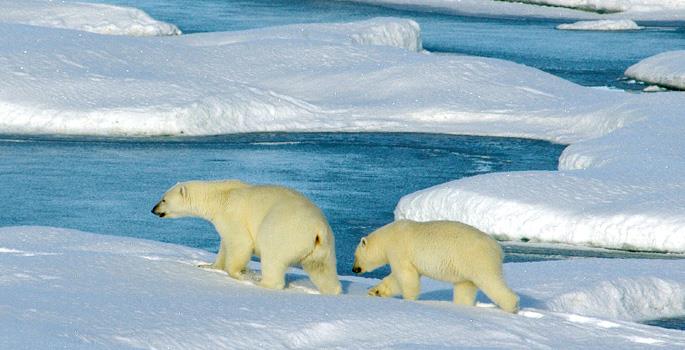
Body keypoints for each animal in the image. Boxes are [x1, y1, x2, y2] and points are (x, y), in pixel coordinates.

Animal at [151, 180, 340, 296]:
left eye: (163, 199)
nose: (153, 209)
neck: (220, 197)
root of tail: (318, 228)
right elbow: (224, 244)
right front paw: (208, 266)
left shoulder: (232, 215)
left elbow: (240, 243)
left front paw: (238, 274)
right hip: (324, 249)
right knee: (322, 270)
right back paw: (333, 291)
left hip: (284, 232)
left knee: (272, 258)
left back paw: (261, 283)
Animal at [352, 220, 520, 314]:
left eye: (355, 256)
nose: (354, 269)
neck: (387, 237)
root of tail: (498, 248)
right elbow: (397, 279)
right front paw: (375, 291)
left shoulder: (399, 250)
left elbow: (406, 276)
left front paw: (409, 300)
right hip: (465, 266)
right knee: (465, 287)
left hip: (477, 259)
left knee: (490, 281)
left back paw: (512, 307)